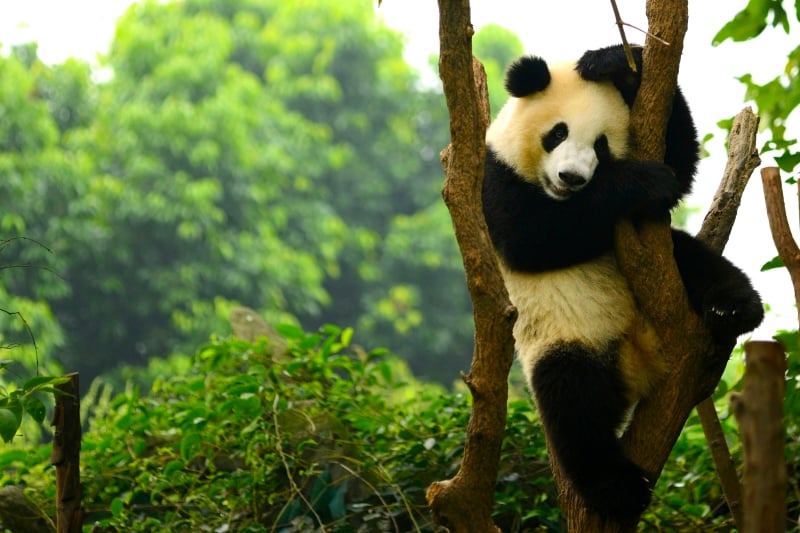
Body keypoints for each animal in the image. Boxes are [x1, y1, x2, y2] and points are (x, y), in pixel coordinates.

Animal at [482, 43, 764, 516]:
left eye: (601, 145)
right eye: (557, 133)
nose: (571, 178)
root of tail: (640, 360)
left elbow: (680, 160)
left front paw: (615, 63)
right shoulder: (492, 177)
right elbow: (530, 235)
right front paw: (642, 181)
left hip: (670, 271)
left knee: (693, 258)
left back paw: (734, 308)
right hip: (566, 337)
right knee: (574, 405)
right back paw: (619, 489)